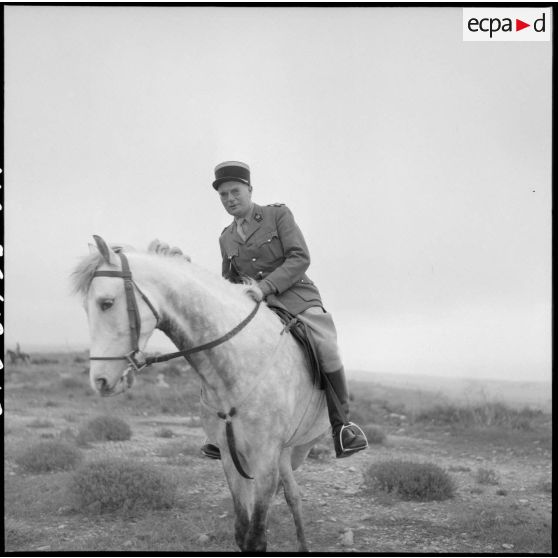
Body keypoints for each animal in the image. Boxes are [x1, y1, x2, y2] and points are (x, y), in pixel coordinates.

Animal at [72, 235, 330, 552]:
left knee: (293, 495)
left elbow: (256, 537)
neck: (235, 363)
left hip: (298, 447)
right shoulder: (232, 458)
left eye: (106, 303)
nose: (100, 380)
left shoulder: (264, 459)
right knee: (292, 494)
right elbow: (242, 531)